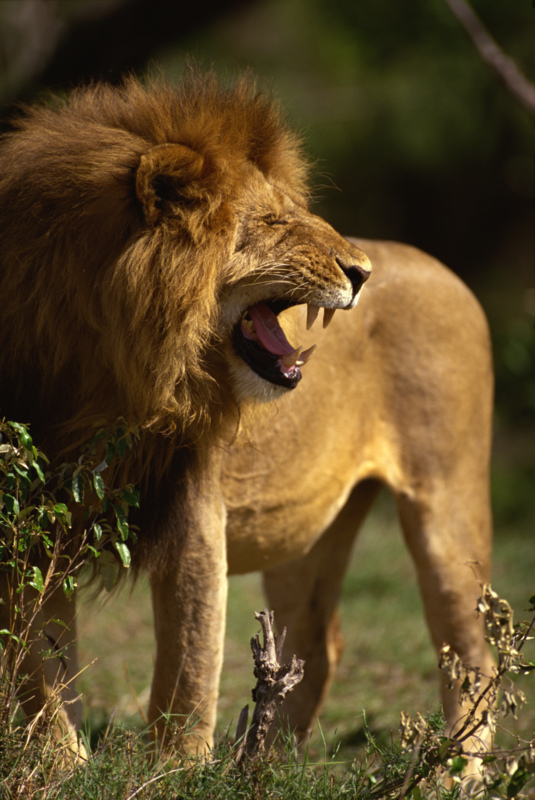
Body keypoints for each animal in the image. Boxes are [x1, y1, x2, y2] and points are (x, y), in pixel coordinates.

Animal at [0, 70, 494, 765]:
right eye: (274, 220)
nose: (362, 273)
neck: (105, 370)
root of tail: (446, 271)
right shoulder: (30, 521)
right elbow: (41, 675)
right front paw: (63, 770)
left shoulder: (192, 511)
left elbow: (186, 671)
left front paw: (175, 770)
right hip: (311, 525)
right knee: (315, 644)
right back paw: (264, 761)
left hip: (447, 502)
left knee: (471, 651)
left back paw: (460, 774)